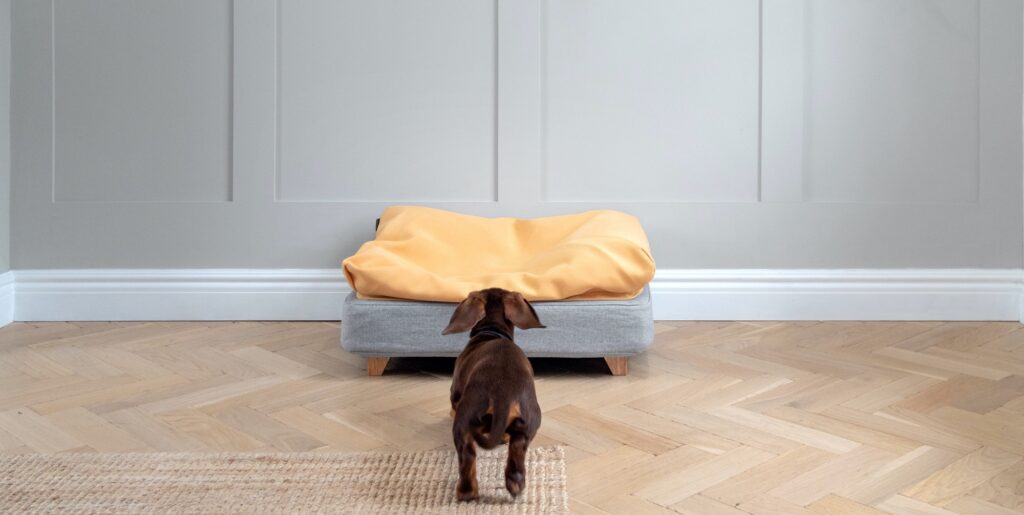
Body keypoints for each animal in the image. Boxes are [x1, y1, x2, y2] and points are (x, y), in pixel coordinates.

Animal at [444, 288, 548, 501]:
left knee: (467, 456)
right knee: (517, 451)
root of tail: (502, 394)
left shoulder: (455, 390)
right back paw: (515, 484)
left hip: (463, 420)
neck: (492, 332)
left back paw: (466, 492)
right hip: (528, 423)